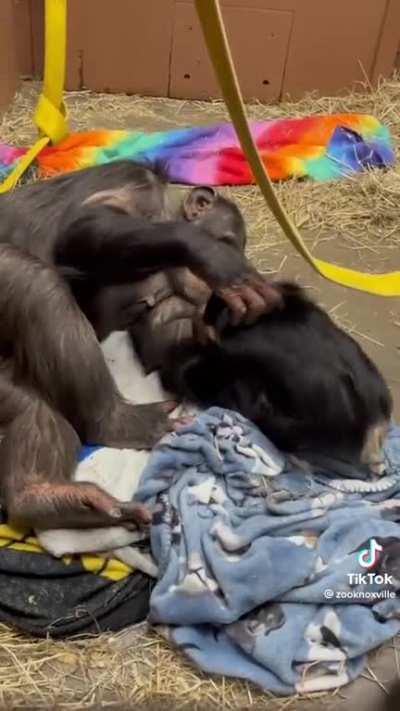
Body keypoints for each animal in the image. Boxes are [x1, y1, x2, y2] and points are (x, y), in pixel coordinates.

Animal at [0, 160, 281, 530]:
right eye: (228, 242)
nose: (212, 290)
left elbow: (156, 344)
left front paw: (208, 328)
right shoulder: (137, 188)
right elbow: (88, 224)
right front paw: (212, 256)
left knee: (31, 409)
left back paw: (50, 499)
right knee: (35, 281)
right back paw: (117, 422)